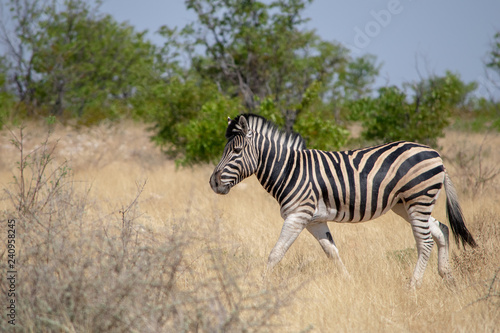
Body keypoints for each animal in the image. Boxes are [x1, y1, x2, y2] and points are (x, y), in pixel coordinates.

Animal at [209, 113, 478, 286]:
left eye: (236, 151)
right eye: (224, 150)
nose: (213, 182)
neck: (289, 169)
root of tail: (435, 154)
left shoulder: (297, 216)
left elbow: (275, 253)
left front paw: (260, 285)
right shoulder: (314, 221)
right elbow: (332, 253)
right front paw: (349, 282)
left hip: (418, 198)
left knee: (425, 242)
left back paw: (414, 285)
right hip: (405, 205)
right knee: (441, 229)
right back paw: (448, 278)